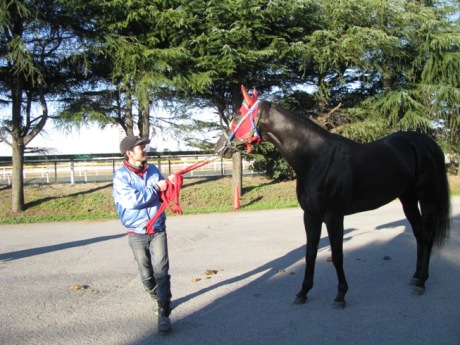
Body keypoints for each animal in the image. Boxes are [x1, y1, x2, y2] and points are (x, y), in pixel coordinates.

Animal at [215, 86, 450, 306]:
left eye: (237, 115)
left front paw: (340, 295)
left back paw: (421, 282)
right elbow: (310, 252)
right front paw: (303, 292)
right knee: (419, 233)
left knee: (428, 234)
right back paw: (416, 276)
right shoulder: (310, 216)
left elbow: (337, 254)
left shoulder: (333, 216)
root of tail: (429, 145)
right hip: (407, 198)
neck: (316, 159)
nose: (219, 147)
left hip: (427, 196)